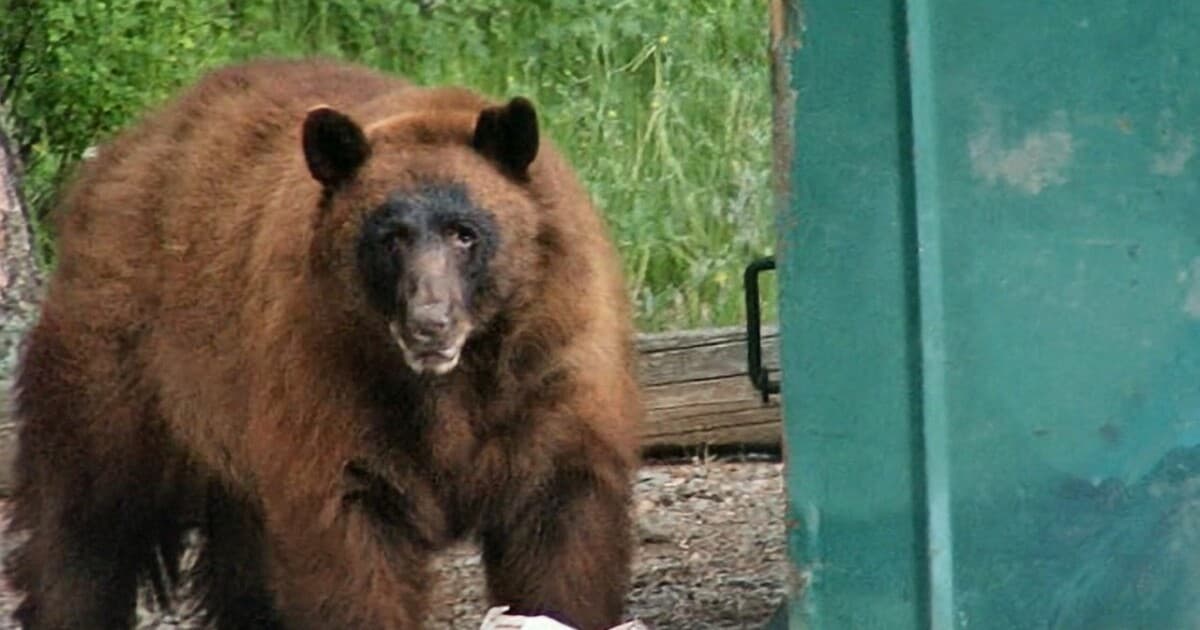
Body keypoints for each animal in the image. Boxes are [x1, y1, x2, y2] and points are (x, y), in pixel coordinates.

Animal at [4, 57, 643, 630]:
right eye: (390, 236)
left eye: (466, 233)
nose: (429, 323)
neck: (453, 381)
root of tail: (128, 146)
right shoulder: (329, 369)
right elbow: (348, 535)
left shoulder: (548, 372)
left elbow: (560, 522)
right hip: (125, 360)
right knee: (84, 514)